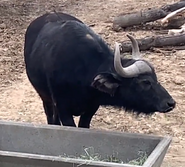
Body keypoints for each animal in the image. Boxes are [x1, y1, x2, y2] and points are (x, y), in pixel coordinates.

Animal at [23, 12, 176, 129]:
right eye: (145, 82)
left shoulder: (92, 107)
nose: (170, 103)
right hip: (44, 96)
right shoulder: (63, 108)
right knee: (50, 116)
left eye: (156, 78)